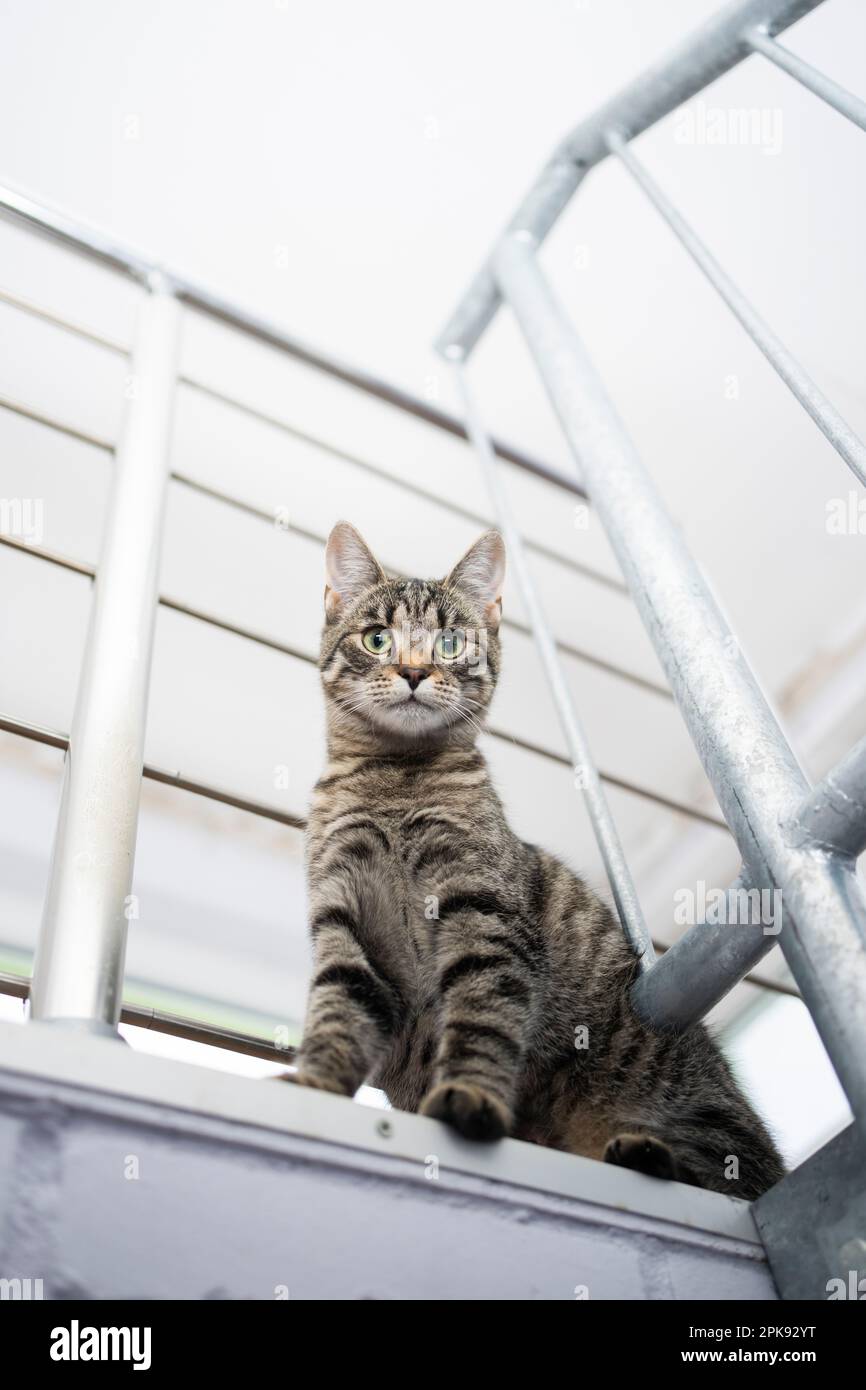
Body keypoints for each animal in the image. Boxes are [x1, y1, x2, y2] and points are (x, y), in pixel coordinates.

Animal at [294, 522, 789, 1195]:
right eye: (377, 638)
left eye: (449, 642)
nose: (414, 671)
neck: (395, 782)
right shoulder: (344, 924)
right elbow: (336, 1015)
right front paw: (312, 1082)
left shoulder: (483, 915)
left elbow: (481, 1021)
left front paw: (469, 1097)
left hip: (695, 1108)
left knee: (729, 1171)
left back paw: (646, 1154)